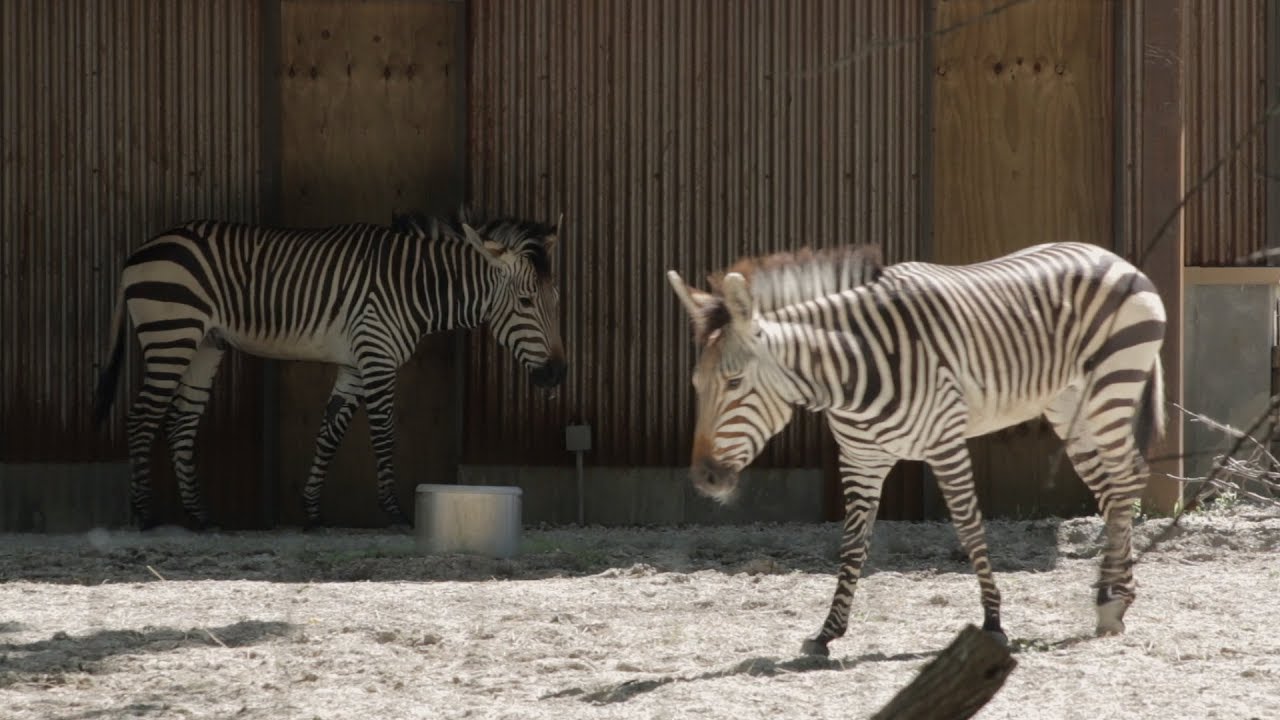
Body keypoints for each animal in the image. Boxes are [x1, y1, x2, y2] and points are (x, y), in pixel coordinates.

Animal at [93, 206, 567, 530]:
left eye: (556, 299)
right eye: (526, 302)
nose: (557, 375)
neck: (414, 286)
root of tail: (138, 252)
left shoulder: (354, 363)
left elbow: (330, 433)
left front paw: (312, 512)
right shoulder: (376, 356)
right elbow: (383, 434)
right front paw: (395, 513)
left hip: (205, 344)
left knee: (181, 422)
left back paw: (199, 516)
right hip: (172, 333)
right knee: (142, 418)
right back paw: (144, 514)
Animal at [667, 242, 1166, 656]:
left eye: (734, 382)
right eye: (695, 384)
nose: (705, 479)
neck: (849, 374)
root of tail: (1113, 257)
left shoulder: (945, 444)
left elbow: (969, 527)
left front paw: (993, 621)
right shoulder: (861, 459)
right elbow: (852, 543)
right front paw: (828, 632)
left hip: (1110, 388)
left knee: (1126, 478)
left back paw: (1113, 600)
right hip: (1069, 406)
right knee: (1110, 490)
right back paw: (1112, 597)